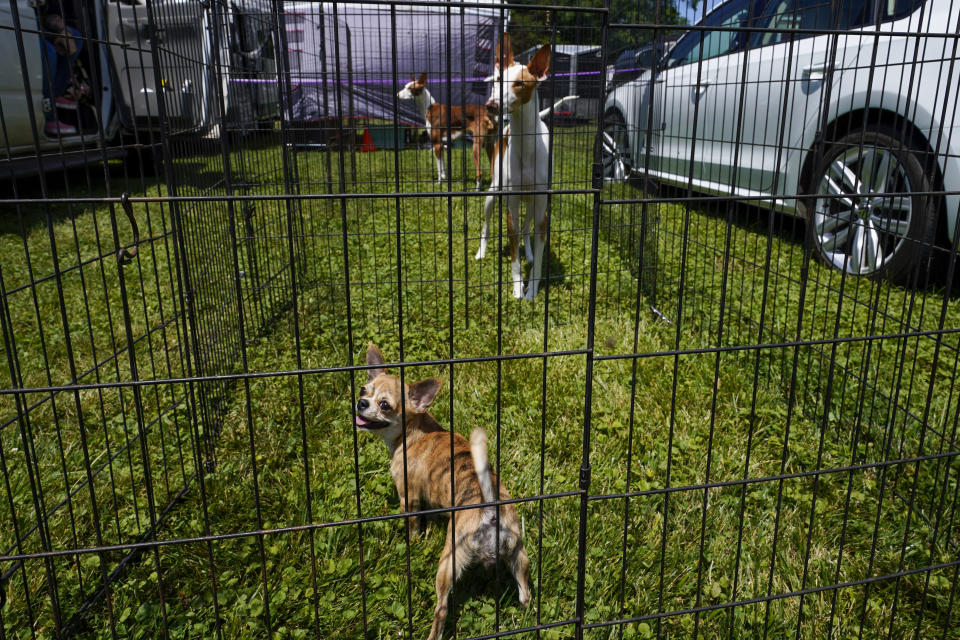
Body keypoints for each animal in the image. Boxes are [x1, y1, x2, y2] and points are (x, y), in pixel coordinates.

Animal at [354, 344, 532, 640]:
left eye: (385, 406)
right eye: (363, 390)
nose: (361, 403)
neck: (413, 432)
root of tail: (490, 509)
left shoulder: (408, 497)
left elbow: (413, 524)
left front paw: (412, 542)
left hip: (449, 561)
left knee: (442, 609)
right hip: (518, 555)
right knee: (525, 594)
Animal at [474, 36, 552, 302]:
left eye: (519, 83)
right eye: (498, 80)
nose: (491, 105)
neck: (525, 142)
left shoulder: (541, 207)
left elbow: (538, 257)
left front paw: (533, 290)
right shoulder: (511, 205)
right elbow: (514, 256)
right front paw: (518, 288)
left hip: (532, 204)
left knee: (528, 230)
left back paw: (529, 252)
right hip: (492, 194)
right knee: (486, 226)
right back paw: (481, 252)